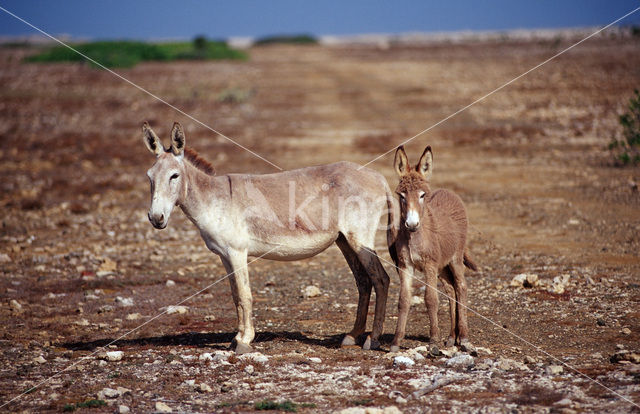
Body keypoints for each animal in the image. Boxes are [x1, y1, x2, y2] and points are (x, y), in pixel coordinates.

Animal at [384, 146, 476, 352]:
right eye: (401, 195)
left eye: (422, 195)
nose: (411, 224)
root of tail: (449, 192)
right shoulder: (405, 266)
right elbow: (403, 300)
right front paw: (396, 342)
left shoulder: (429, 266)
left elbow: (431, 299)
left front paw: (433, 339)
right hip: (443, 266)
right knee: (451, 290)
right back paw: (451, 338)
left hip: (455, 258)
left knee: (461, 287)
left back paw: (464, 338)